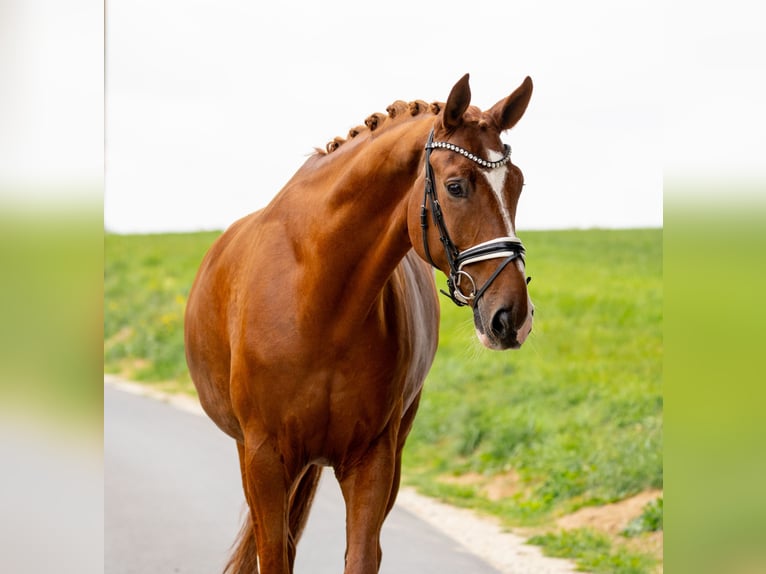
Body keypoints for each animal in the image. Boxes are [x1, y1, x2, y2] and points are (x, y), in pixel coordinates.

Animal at [184, 73, 534, 574]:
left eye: (517, 185)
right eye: (455, 187)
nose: (513, 317)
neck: (320, 305)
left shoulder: (373, 460)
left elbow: (363, 554)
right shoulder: (264, 457)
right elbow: (273, 554)